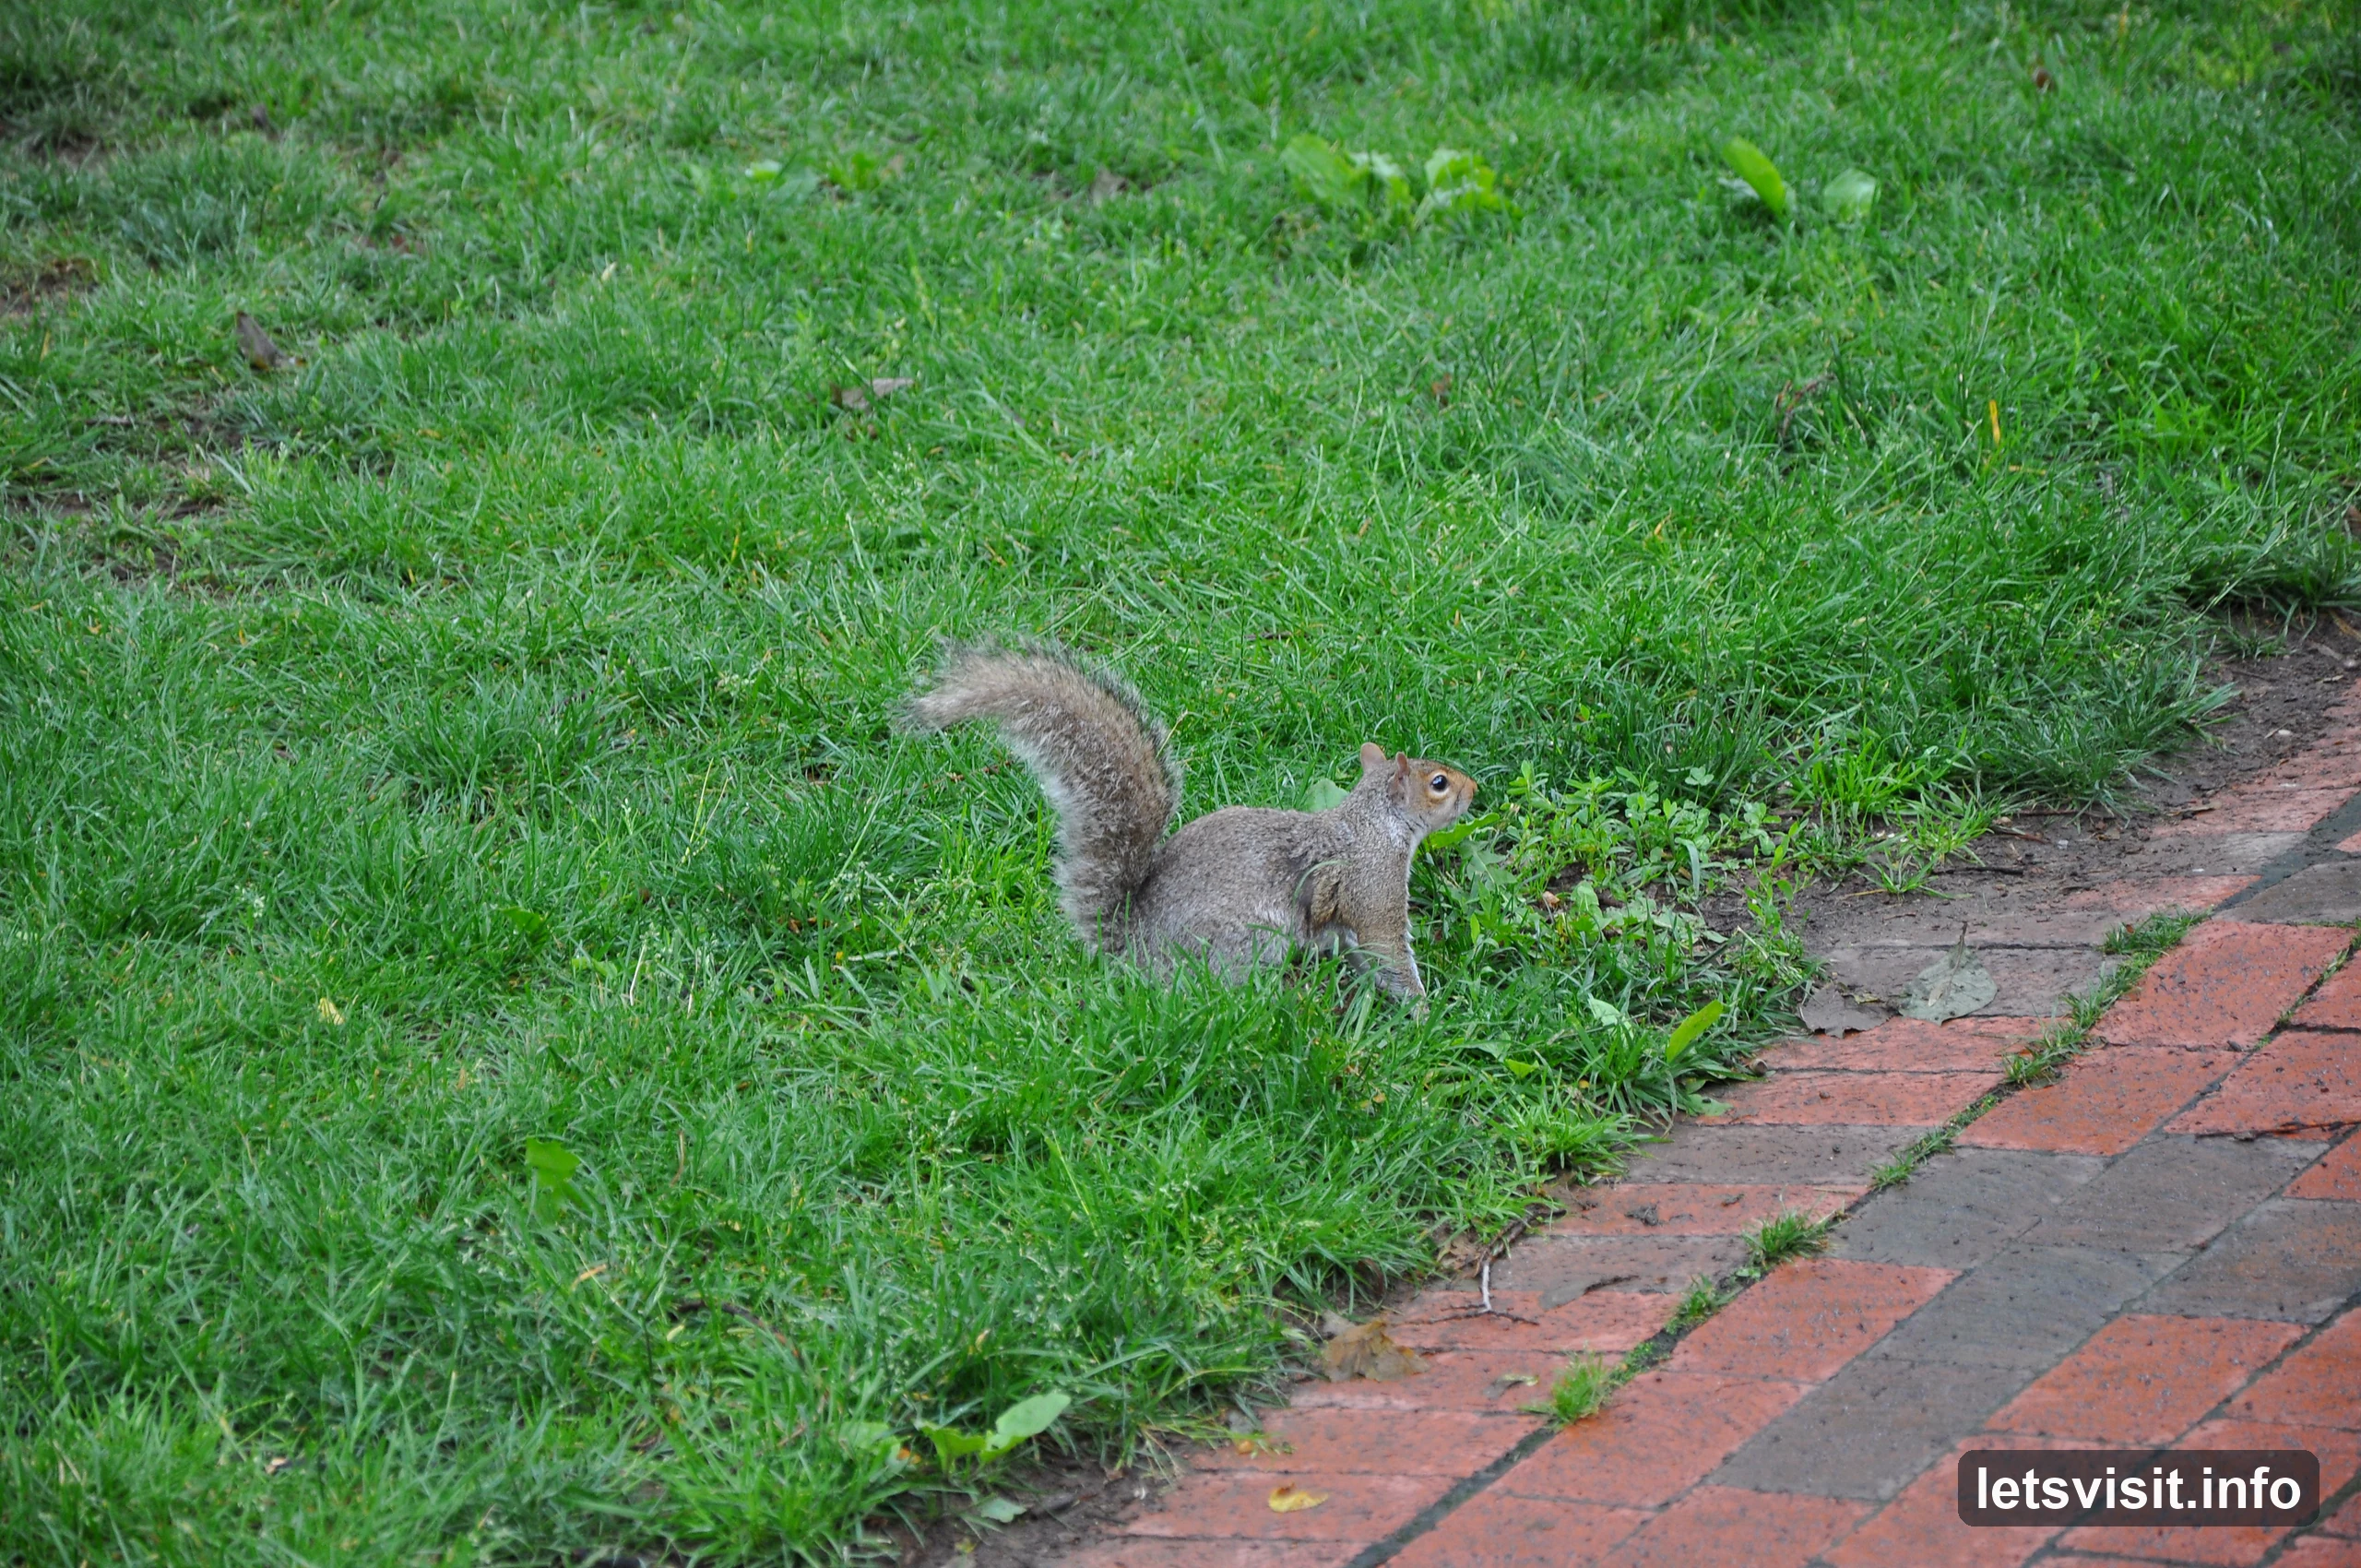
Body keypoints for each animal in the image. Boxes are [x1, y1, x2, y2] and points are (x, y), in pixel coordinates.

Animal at [905, 639, 1477, 1002]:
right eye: (1438, 783)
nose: (1474, 789)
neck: (1372, 824)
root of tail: (1133, 950)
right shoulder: (1371, 888)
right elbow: (1387, 951)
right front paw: (1424, 1011)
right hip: (1247, 942)